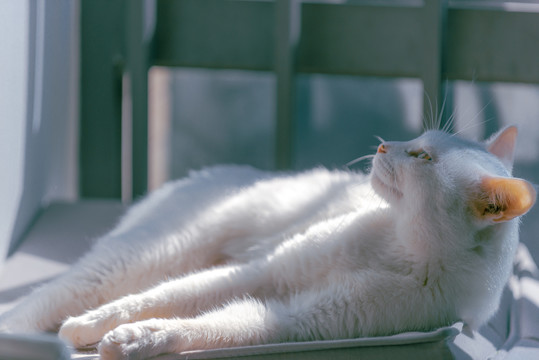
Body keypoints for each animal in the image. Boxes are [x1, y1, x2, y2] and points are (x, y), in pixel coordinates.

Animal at [0, 126, 536, 360]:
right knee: (54, 296)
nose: (385, 144)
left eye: (422, 156)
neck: (401, 245)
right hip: (146, 254)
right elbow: (167, 296)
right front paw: (93, 327)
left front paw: (137, 339)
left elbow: (216, 326)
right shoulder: (265, 271)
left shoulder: (301, 318)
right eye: (417, 138)